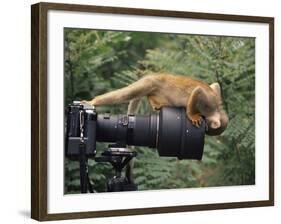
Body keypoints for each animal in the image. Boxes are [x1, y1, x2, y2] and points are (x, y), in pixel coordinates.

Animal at [83, 73, 228, 135]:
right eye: (207, 128)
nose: (206, 129)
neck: (217, 109)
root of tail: (155, 75)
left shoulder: (215, 96)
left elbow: (215, 85)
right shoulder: (208, 103)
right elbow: (198, 91)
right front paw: (192, 115)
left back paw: (154, 102)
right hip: (149, 82)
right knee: (126, 94)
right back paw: (94, 101)